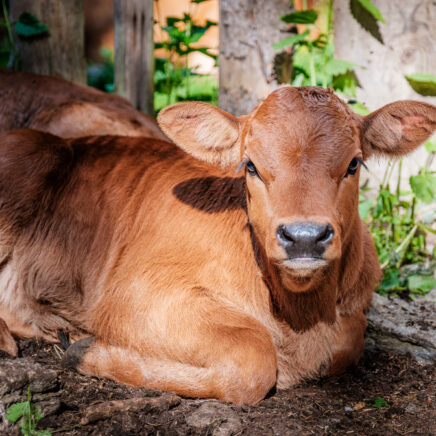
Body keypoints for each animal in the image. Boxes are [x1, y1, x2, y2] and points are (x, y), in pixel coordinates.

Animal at [0, 87, 434, 404]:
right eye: (251, 166)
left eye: (354, 164)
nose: (304, 237)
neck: (298, 314)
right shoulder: (133, 294)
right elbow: (252, 361)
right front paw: (88, 349)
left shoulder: (355, 305)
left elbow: (349, 340)